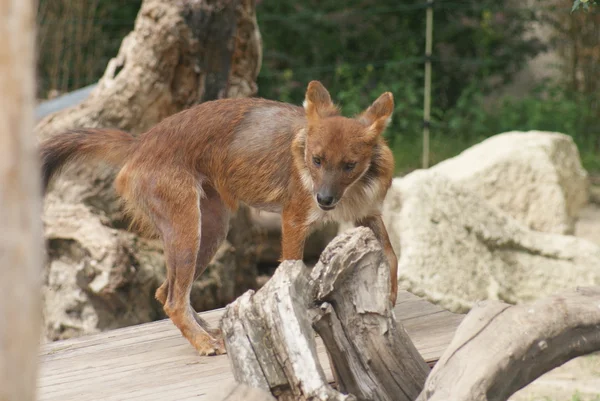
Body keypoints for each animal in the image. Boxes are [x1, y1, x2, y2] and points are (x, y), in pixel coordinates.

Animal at [41, 79, 398, 354]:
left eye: (349, 165)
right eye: (316, 160)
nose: (323, 199)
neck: (351, 192)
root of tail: (140, 141)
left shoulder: (366, 214)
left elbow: (391, 255)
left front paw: (390, 299)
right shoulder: (293, 220)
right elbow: (293, 273)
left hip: (211, 231)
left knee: (165, 292)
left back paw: (210, 332)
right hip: (189, 230)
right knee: (173, 299)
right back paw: (204, 343)